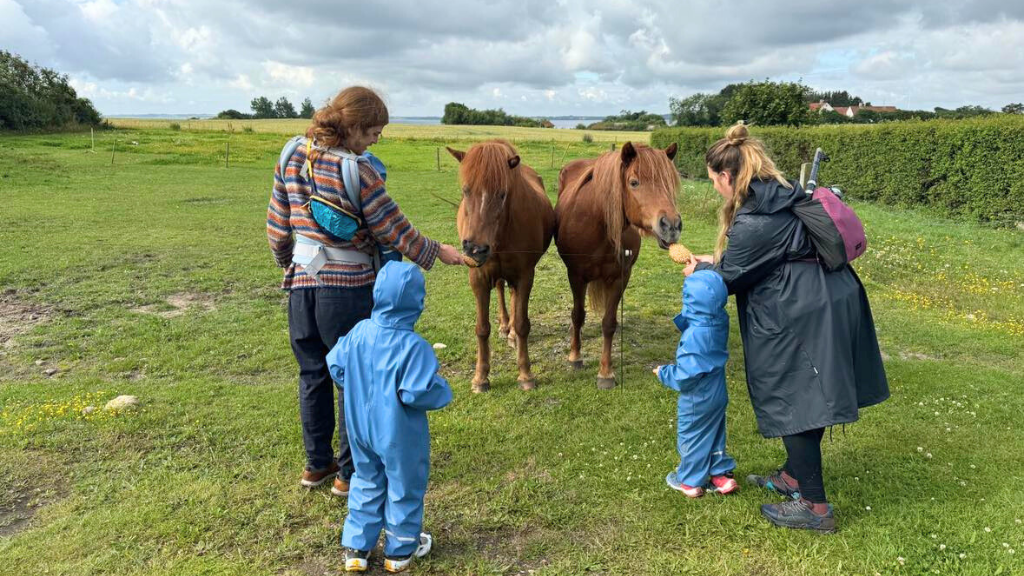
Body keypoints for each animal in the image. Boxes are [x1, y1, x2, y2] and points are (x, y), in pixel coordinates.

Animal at [446, 140, 555, 393]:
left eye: (503, 193)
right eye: (465, 190)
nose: (475, 249)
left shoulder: (525, 276)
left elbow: (524, 324)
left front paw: (525, 374)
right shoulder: (478, 278)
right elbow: (481, 328)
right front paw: (480, 377)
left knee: (513, 297)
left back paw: (512, 332)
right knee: (500, 289)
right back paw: (505, 325)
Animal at [555, 142, 681, 389]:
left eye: (669, 183)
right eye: (634, 182)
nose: (671, 226)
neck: (597, 223)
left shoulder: (620, 277)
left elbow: (609, 323)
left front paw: (606, 373)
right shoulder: (576, 275)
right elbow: (578, 314)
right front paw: (575, 357)